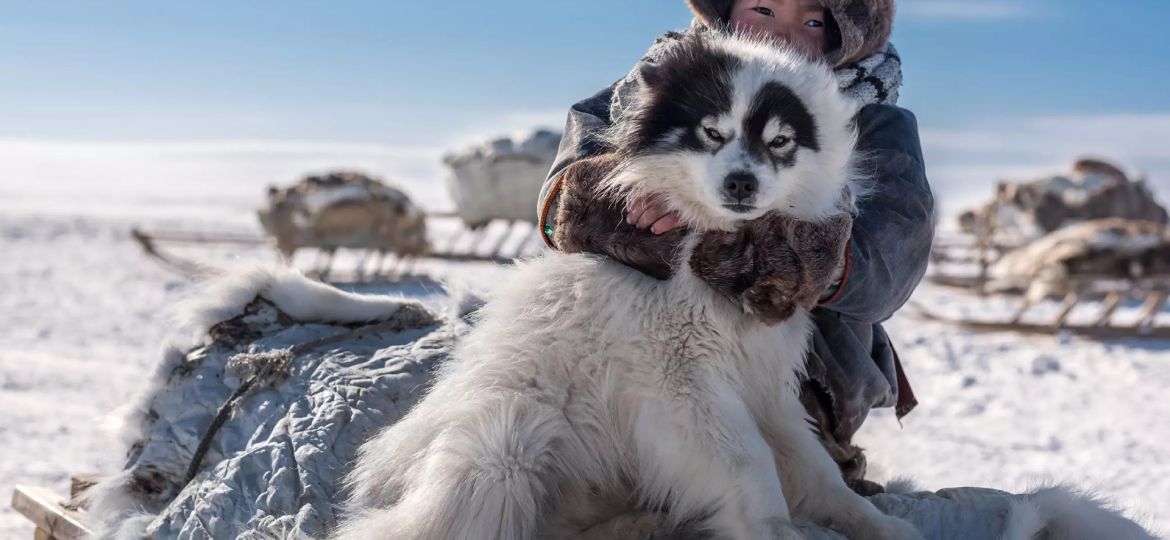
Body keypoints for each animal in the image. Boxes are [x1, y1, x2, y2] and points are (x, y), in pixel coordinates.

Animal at [336, 32, 921, 540]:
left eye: (781, 142)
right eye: (712, 132)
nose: (741, 182)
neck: (704, 247)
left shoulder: (765, 387)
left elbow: (816, 471)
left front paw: (875, 525)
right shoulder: (683, 386)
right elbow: (750, 461)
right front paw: (773, 532)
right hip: (504, 450)